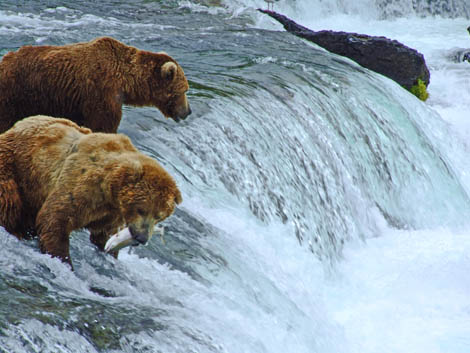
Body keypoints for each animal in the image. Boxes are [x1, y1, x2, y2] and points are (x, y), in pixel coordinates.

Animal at [0, 36, 192, 133]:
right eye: (184, 90)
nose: (188, 111)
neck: (126, 81)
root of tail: (4, 61)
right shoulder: (102, 92)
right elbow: (103, 124)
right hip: (16, 95)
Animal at [0, 115, 183, 266]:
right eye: (141, 209)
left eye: (159, 216)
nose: (142, 237)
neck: (111, 189)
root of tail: (16, 125)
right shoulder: (84, 186)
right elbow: (55, 218)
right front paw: (64, 261)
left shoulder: (110, 213)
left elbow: (103, 234)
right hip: (15, 168)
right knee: (9, 202)